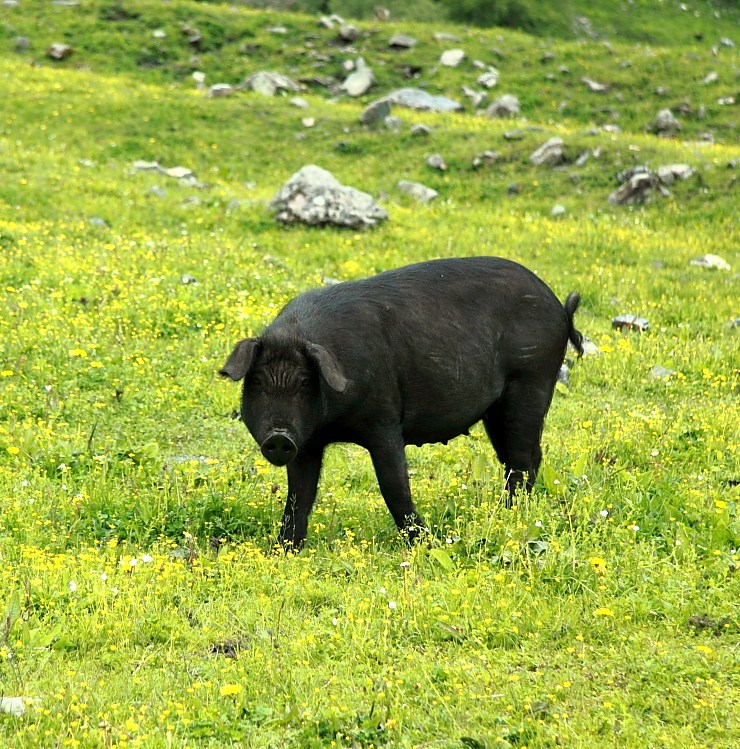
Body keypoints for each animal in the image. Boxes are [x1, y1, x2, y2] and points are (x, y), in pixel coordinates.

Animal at [220, 254, 584, 548]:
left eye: (305, 382)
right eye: (256, 382)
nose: (279, 436)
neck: (334, 424)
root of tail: (559, 307)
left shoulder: (384, 421)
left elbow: (394, 485)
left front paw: (424, 544)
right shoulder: (308, 442)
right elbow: (299, 496)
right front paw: (284, 550)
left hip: (533, 380)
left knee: (524, 459)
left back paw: (508, 515)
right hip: (496, 409)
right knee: (520, 459)